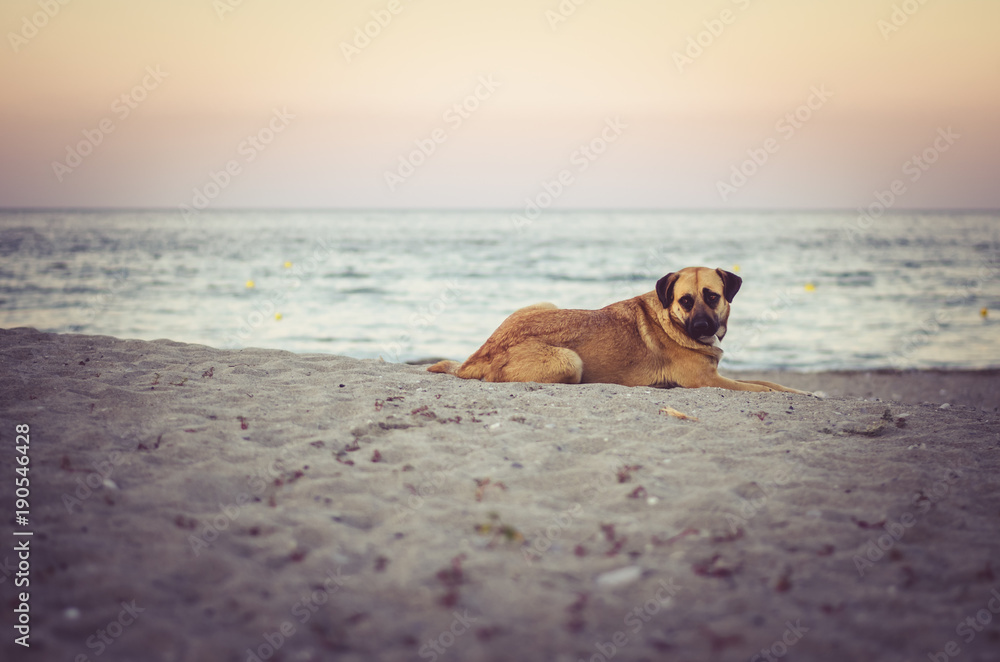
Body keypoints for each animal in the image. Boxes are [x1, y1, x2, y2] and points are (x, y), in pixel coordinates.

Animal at [426, 268, 808, 394]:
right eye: (685, 301)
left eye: (712, 296)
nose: (702, 326)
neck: (670, 319)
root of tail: (480, 353)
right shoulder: (708, 381)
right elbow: (761, 388)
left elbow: (769, 383)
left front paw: (801, 391)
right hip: (569, 361)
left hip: (545, 303)